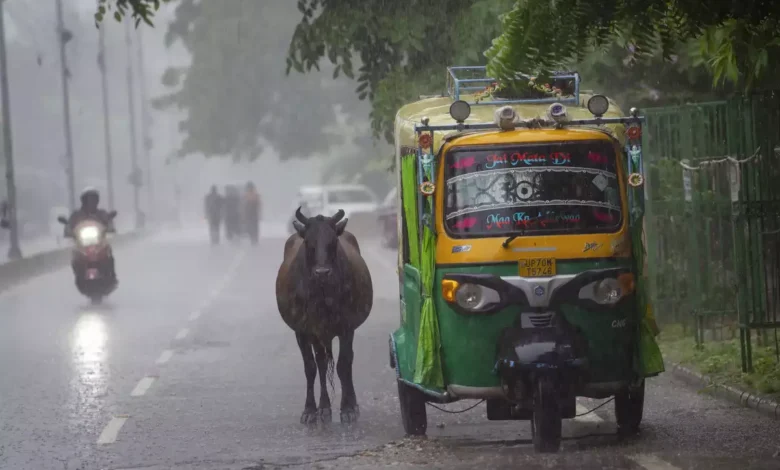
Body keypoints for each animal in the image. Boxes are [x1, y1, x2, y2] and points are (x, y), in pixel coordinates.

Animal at [276, 207, 374, 424]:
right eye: (308, 242)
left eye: (333, 241)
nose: (322, 272)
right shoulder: (303, 330)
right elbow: (310, 367)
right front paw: (311, 410)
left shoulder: (347, 327)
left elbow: (343, 364)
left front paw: (348, 409)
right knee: (321, 363)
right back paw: (324, 407)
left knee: (347, 361)